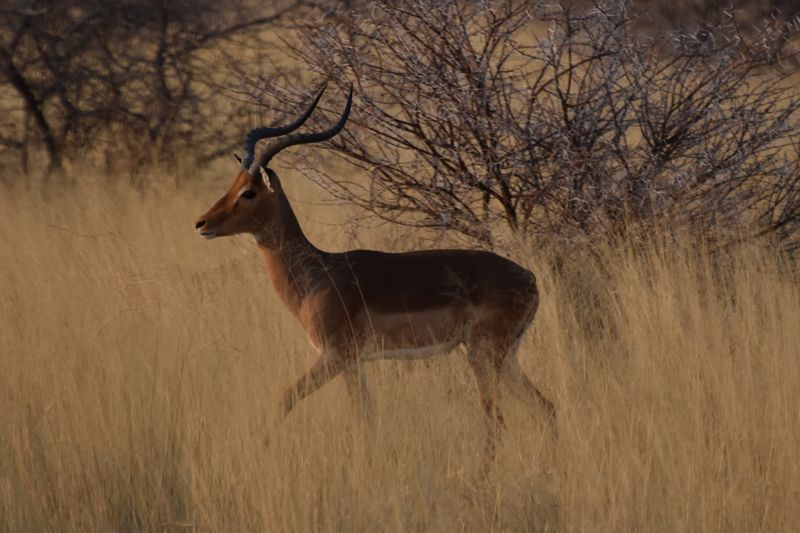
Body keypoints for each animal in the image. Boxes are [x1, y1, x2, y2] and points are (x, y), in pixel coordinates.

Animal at [194, 83, 556, 458]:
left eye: (249, 192)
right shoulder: (354, 364)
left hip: (482, 355)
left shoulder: (336, 357)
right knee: (547, 408)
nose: (201, 223)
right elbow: (367, 416)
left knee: (496, 422)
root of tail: (530, 279)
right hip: (503, 358)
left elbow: (288, 399)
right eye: (233, 184)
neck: (319, 274)